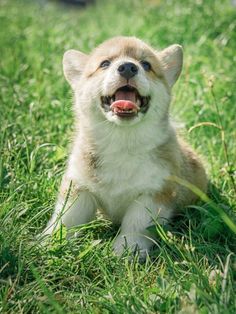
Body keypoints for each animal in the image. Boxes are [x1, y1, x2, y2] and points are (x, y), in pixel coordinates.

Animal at [41, 36, 207, 258]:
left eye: (146, 65)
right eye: (104, 63)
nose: (128, 67)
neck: (121, 140)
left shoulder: (154, 194)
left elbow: (136, 224)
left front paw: (127, 251)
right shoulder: (79, 187)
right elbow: (66, 218)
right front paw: (47, 243)